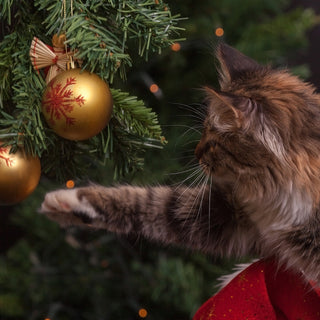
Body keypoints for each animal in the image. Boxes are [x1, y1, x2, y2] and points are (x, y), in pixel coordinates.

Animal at [40, 42, 320, 284]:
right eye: (203, 129)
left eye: (213, 141)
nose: (196, 154)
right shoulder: (231, 216)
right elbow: (148, 202)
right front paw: (67, 202)